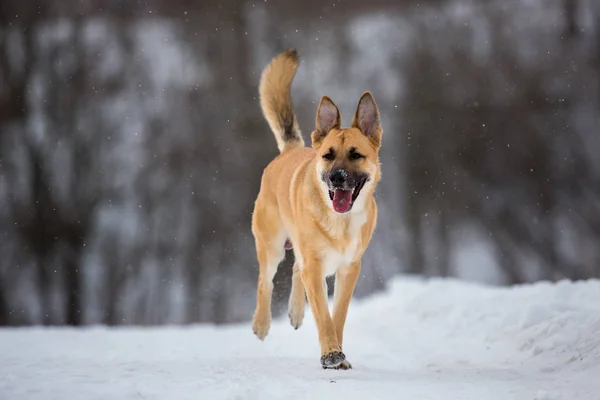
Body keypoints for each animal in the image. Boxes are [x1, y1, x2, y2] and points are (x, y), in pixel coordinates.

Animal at [250, 48, 382, 370]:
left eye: (356, 155)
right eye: (328, 155)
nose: (336, 177)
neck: (340, 222)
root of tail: (289, 150)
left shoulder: (349, 268)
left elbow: (338, 315)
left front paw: (338, 353)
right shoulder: (316, 264)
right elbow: (323, 314)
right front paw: (331, 354)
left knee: (296, 268)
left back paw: (297, 312)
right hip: (271, 245)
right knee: (265, 280)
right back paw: (262, 324)